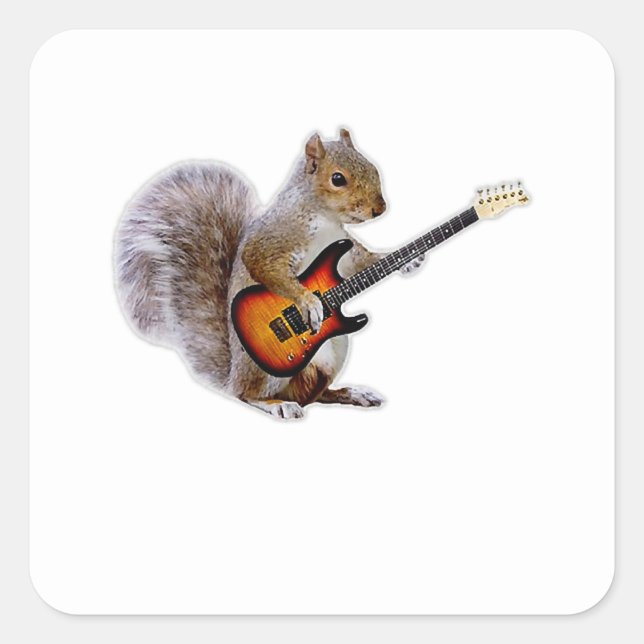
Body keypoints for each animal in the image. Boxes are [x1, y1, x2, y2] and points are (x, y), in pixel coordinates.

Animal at [115, 129, 426, 419]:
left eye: (372, 167)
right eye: (338, 179)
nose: (380, 208)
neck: (324, 218)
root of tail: (233, 376)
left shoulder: (345, 253)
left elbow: (364, 261)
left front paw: (405, 261)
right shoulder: (272, 242)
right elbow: (266, 267)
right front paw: (310, 302)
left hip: (335, 352)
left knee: (316, 395)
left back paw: (351, 393)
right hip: (263, 371)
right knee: (248, 395)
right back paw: (277, 404)